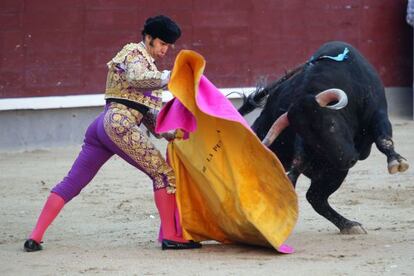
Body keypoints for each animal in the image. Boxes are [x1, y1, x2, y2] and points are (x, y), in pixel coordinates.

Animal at [238, 41, 410, 234]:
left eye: (332, 124)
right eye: (310, 138)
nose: (348, 160)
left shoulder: (378, 113)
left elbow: (383, 140)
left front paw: (397, 162)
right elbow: (299, 159)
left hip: (333, 171)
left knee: (315, 197)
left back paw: (349, 225)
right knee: (313, 195)